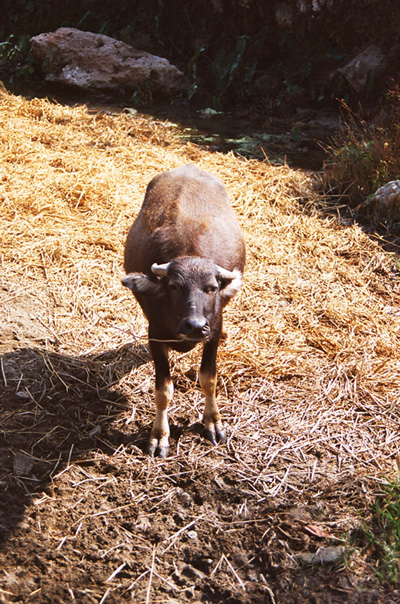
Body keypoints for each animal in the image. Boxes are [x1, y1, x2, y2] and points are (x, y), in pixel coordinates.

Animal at [122, 163, 245, 456]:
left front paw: (213, 422)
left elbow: (208, 378)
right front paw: (159, 436)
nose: (195, 326)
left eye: (212, 287)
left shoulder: (214, 330)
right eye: (174, 286)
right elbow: (163, 390)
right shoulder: (155, 335)